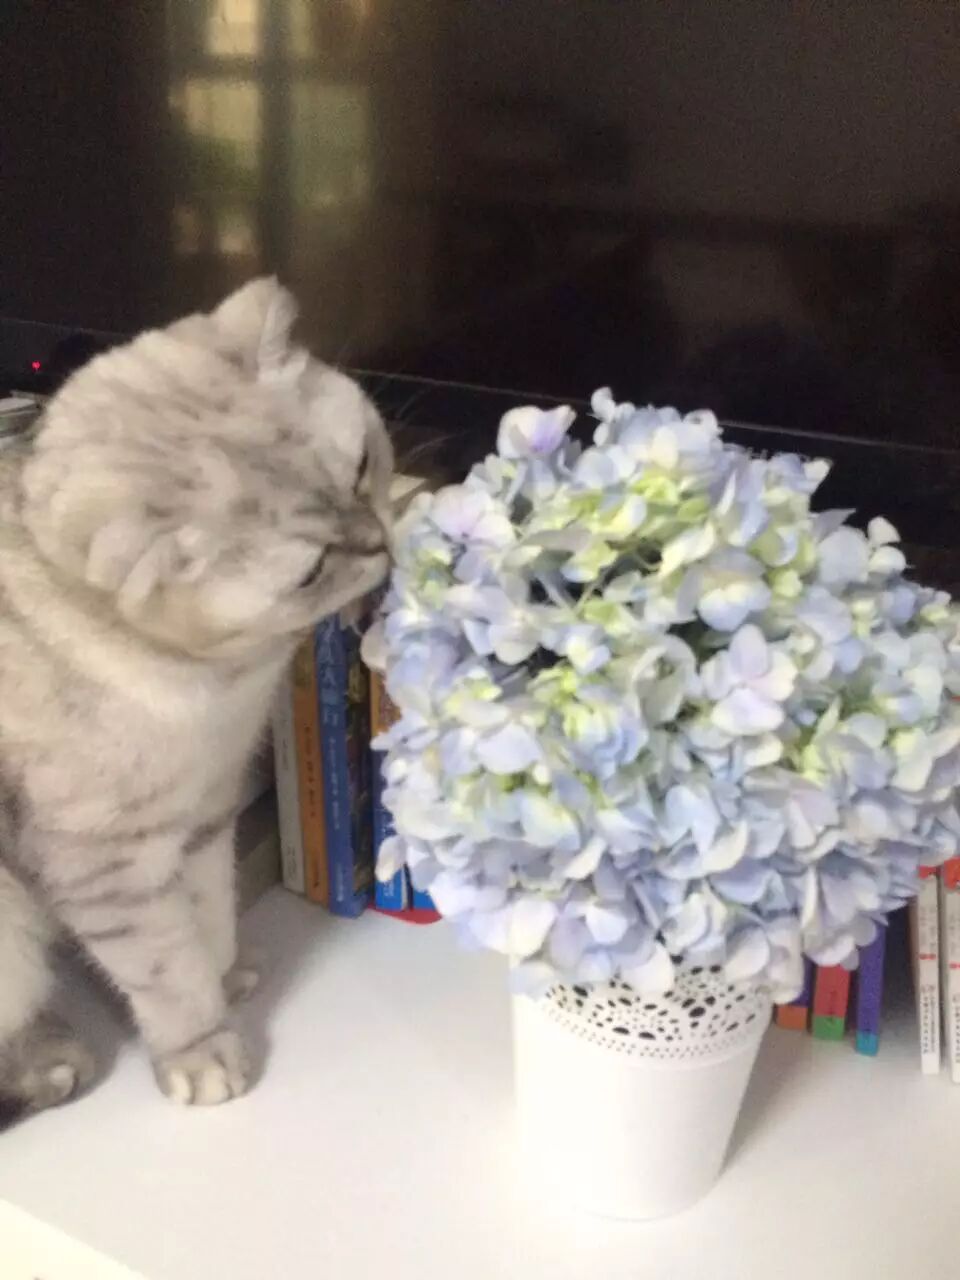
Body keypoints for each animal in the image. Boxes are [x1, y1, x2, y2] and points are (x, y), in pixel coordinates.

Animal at [0, 277, 393, 1121]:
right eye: (312, 571)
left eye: (361, 470)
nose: (382, 544)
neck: (220, 689)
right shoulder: (108, 864)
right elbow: (166, 971)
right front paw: (203, 1050)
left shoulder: (207, 812)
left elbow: (208, 917)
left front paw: (227, 974)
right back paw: (52, 1064)